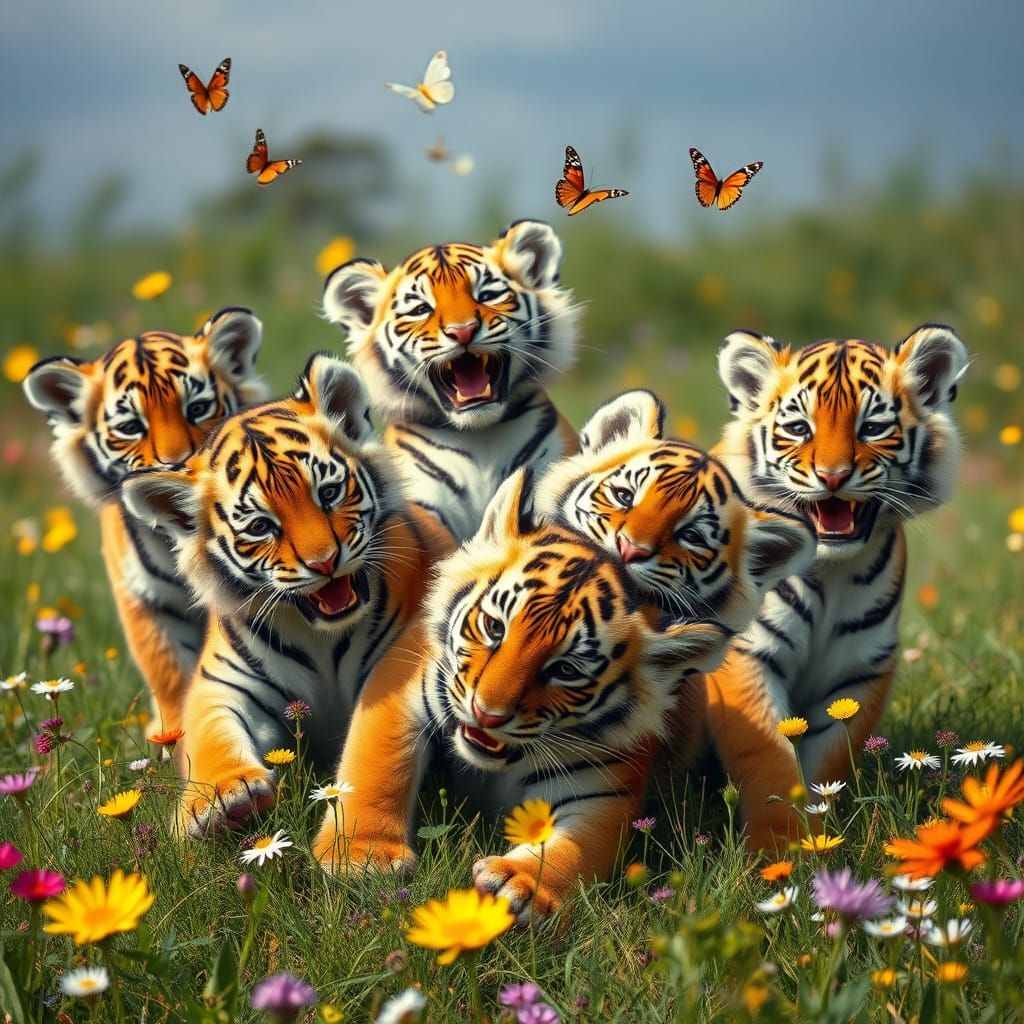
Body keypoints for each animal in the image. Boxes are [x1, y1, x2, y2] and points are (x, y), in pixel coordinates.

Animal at [22, 308, 266, 737]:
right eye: (131, 426)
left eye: (197, 408)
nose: (176, 464)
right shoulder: (145, 600)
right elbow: (170, 677)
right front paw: (176, 741)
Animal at [122, 353, 449, 836]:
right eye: (261, 526)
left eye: (329, 493)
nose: (325, 562)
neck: (324, 636)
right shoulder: (223, 683)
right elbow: (210, 737)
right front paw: (222, 799)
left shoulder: (400, 663)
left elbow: (377, 748)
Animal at [311, 468, 728, 920]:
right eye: (494, 627)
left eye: (565, 670)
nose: (486, 714)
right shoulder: (403, 688)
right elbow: (379, 767)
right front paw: (364, 859)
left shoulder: (604, 786)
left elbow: (574, 848)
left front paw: (523, 886)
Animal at [707, 323, 969, 849]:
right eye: (798, 428)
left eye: (871, 428)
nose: (832, 477)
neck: (830, 571)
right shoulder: (746, 654)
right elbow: (768, 759)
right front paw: (780, 851)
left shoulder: (857, 670)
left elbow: (827, 762)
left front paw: (820, 836)